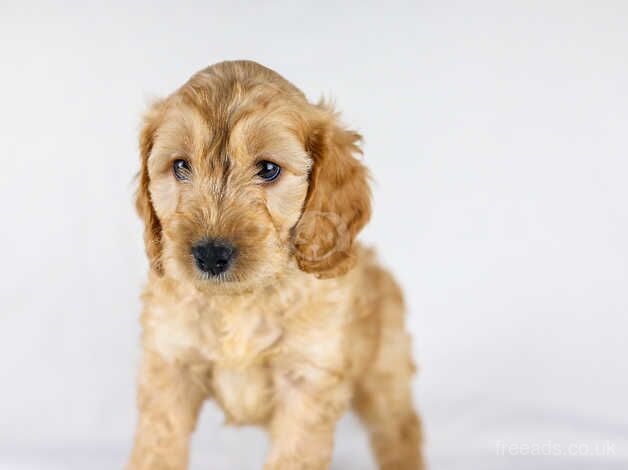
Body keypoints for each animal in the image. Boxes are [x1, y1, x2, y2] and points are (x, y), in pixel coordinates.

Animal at [127, 60, 422, 468]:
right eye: (181, 166)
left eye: (268, 169)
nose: (210, 255)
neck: (240, 300)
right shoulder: (170, 366)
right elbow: (156, 451)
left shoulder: (306, 380)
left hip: (385, 374)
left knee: (401, 430)